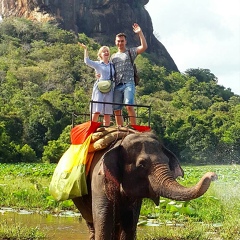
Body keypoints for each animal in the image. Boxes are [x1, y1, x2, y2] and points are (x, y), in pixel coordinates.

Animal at [72, 130, 217, 239]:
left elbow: (130, 223)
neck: (120, 143)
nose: (213, 175)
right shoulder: (100, 182)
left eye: (167, 161)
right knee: (92, 223)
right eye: (142, 165)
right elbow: (104, 223)